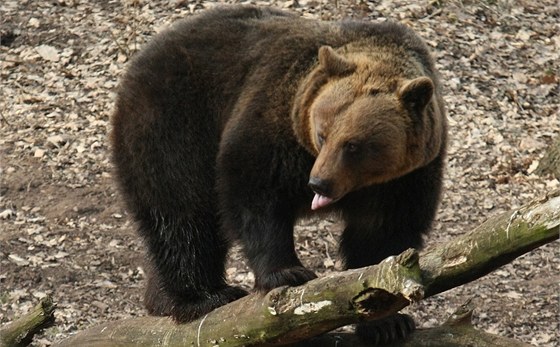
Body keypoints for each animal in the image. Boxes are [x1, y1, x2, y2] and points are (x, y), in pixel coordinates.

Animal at [111, 3, 446, 346]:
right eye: (322, 133)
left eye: (353, 145)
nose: (318, 182)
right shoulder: (275, 126)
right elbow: (256, 196)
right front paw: (288, 272)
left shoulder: (405, 179)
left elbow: (382, 235)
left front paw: (387, 321)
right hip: (175, 122)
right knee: (183, 214)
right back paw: (203, 297)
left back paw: (161, 299)